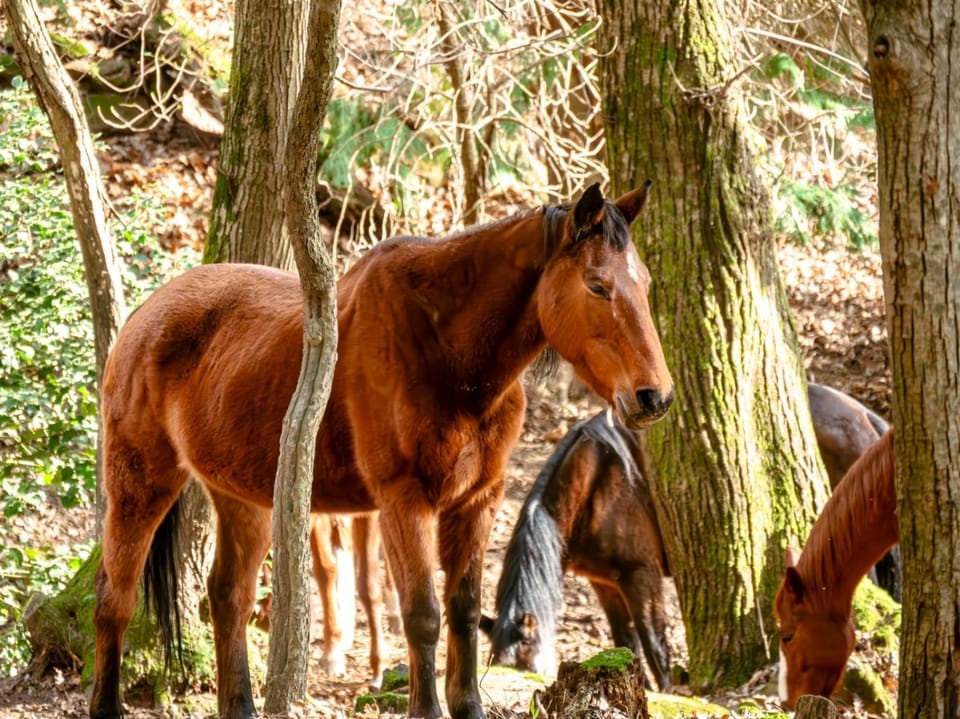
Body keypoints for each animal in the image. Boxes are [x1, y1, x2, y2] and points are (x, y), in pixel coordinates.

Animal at [89, 182, 674, 719]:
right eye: (597, 286)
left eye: (645, 283)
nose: (655, 396)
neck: (448, 354)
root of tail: (143, 316)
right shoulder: (403, 500)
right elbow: (422, 615)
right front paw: (425, 708)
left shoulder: (477, 500)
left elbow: (463, 610)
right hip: (140, 483)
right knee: (115, 600)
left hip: (242, 498)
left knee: (228, 597)